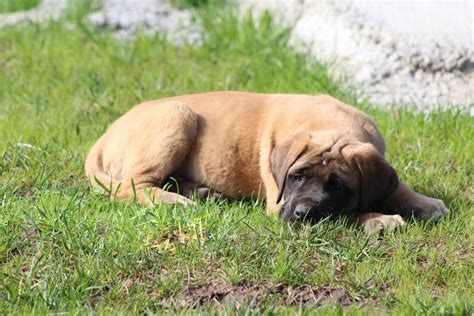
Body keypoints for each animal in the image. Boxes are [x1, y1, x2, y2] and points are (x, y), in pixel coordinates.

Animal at [85, 91, 448, 232]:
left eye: (338, 185)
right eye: (297, 177)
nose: (302, 214)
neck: (332, 125)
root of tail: (105, 133)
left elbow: (394, 185)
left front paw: (426, 203)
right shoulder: (279, 203)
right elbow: (346, 216)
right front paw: (380, 219)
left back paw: (198, 192)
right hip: (178, 116)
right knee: (133, 185)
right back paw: (173, 201)